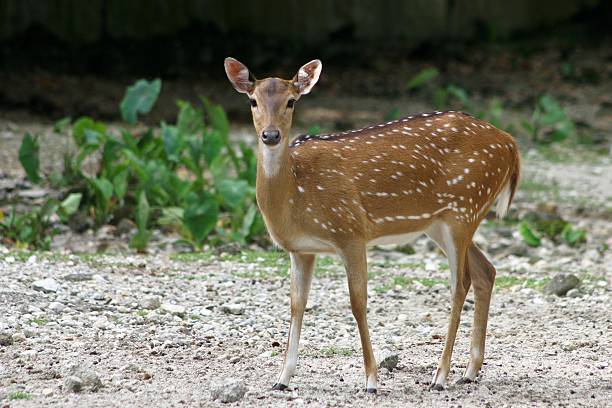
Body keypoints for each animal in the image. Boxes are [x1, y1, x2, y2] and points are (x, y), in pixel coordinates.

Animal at [225, 57, 520, 392]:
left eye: (291, 101)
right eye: (252, 101)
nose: (271, 135)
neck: (295, 196)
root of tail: (510, 143)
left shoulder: (351, 231)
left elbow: (357, 302)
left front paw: (371, 380)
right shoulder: (301, 250)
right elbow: (296, 305)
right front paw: (282, 379)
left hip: (464, 208)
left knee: (460, 284)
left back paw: (440, 376)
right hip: (442, 223)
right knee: (486, 271)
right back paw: (469, 371)